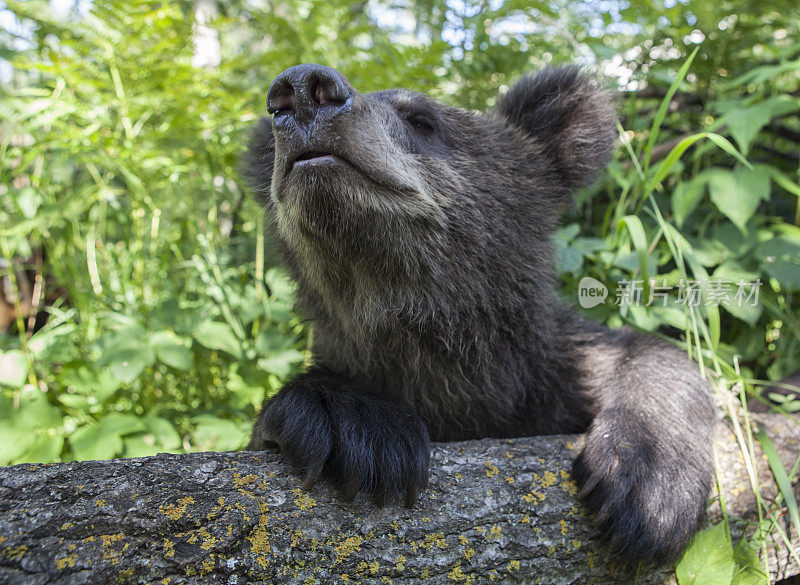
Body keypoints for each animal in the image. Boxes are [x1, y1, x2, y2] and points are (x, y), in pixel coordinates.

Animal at [242, 62, 712, 560]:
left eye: (422, 119)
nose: (300, 89)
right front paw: (356, 423)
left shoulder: (550, 373)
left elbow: (648, 354)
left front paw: (647, 484)